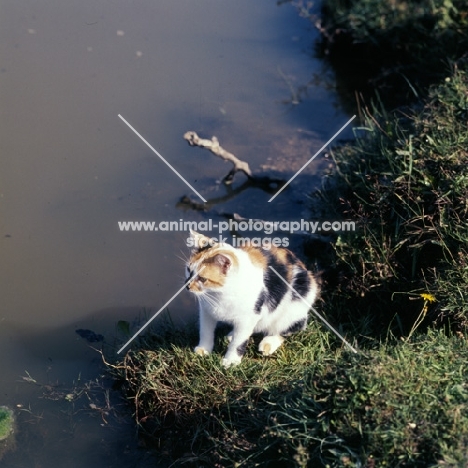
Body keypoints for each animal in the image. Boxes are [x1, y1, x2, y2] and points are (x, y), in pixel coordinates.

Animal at [185, 229, 320, 366]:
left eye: (202, 279)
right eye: (188, 270)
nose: (187, 286)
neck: (219, 294)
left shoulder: (249, 315)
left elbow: (238, 342)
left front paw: (231, 361)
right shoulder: (206, 310)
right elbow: (205, 330)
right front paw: (203, 350)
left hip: (293, 309)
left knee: (292, 327)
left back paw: (268, 343)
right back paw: (231, 334)